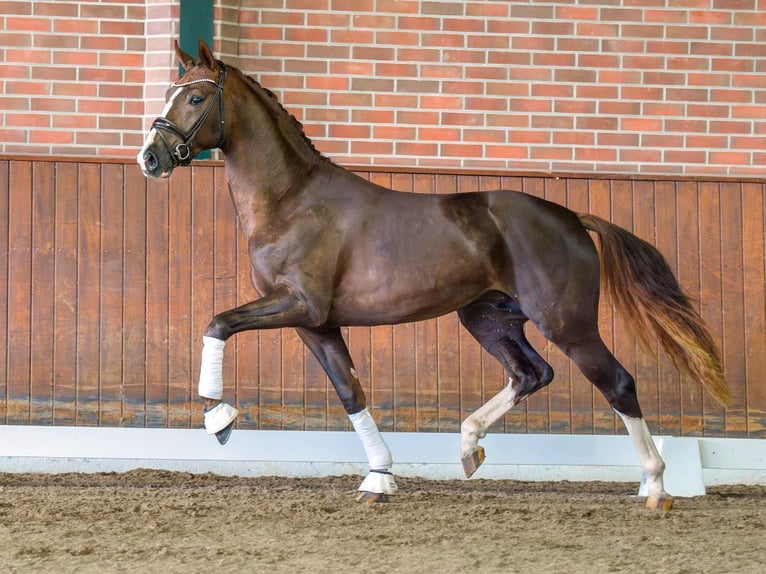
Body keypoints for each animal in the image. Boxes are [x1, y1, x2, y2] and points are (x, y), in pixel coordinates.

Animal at [138, 39, 732, 508]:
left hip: (568, 323)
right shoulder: (317, 325)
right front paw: (379, 478)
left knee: (617, 382)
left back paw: (655, 487)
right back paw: (469, 448)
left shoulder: (299, 305)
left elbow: (217, 323)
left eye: (195, 97)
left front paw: (219, 418)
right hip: (490, 318)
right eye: (171, 90)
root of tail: (570, 218)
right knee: (531, 374)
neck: (293, 202)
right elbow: (351, 392)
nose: (150, 158)